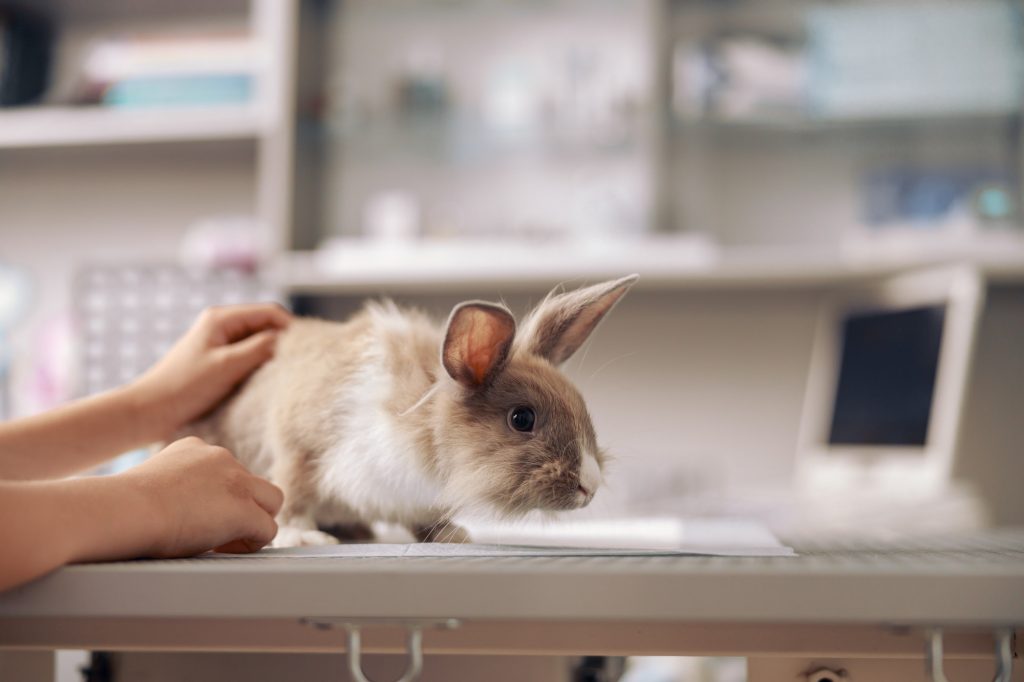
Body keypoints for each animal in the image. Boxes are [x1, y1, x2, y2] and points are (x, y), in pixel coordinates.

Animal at [182, 274, 638, 547]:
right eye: (522, 419)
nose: (589, 485)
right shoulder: (298, 449)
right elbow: (292, 496)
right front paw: (303, 538)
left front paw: (453, 535)